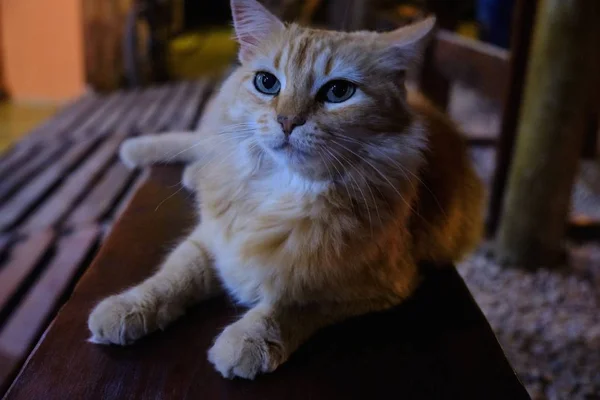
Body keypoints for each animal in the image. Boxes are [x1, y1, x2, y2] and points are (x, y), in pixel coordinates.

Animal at [88, 0, 482, 382]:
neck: (282, 187)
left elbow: (291, 302)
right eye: (267, 83)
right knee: (199, 141)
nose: (288, 121)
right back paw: (143, 152)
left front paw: (249, 339)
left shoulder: (367, 283)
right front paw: (128, 306)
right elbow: (171, 277)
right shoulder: (211, 239)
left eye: (339, 92)